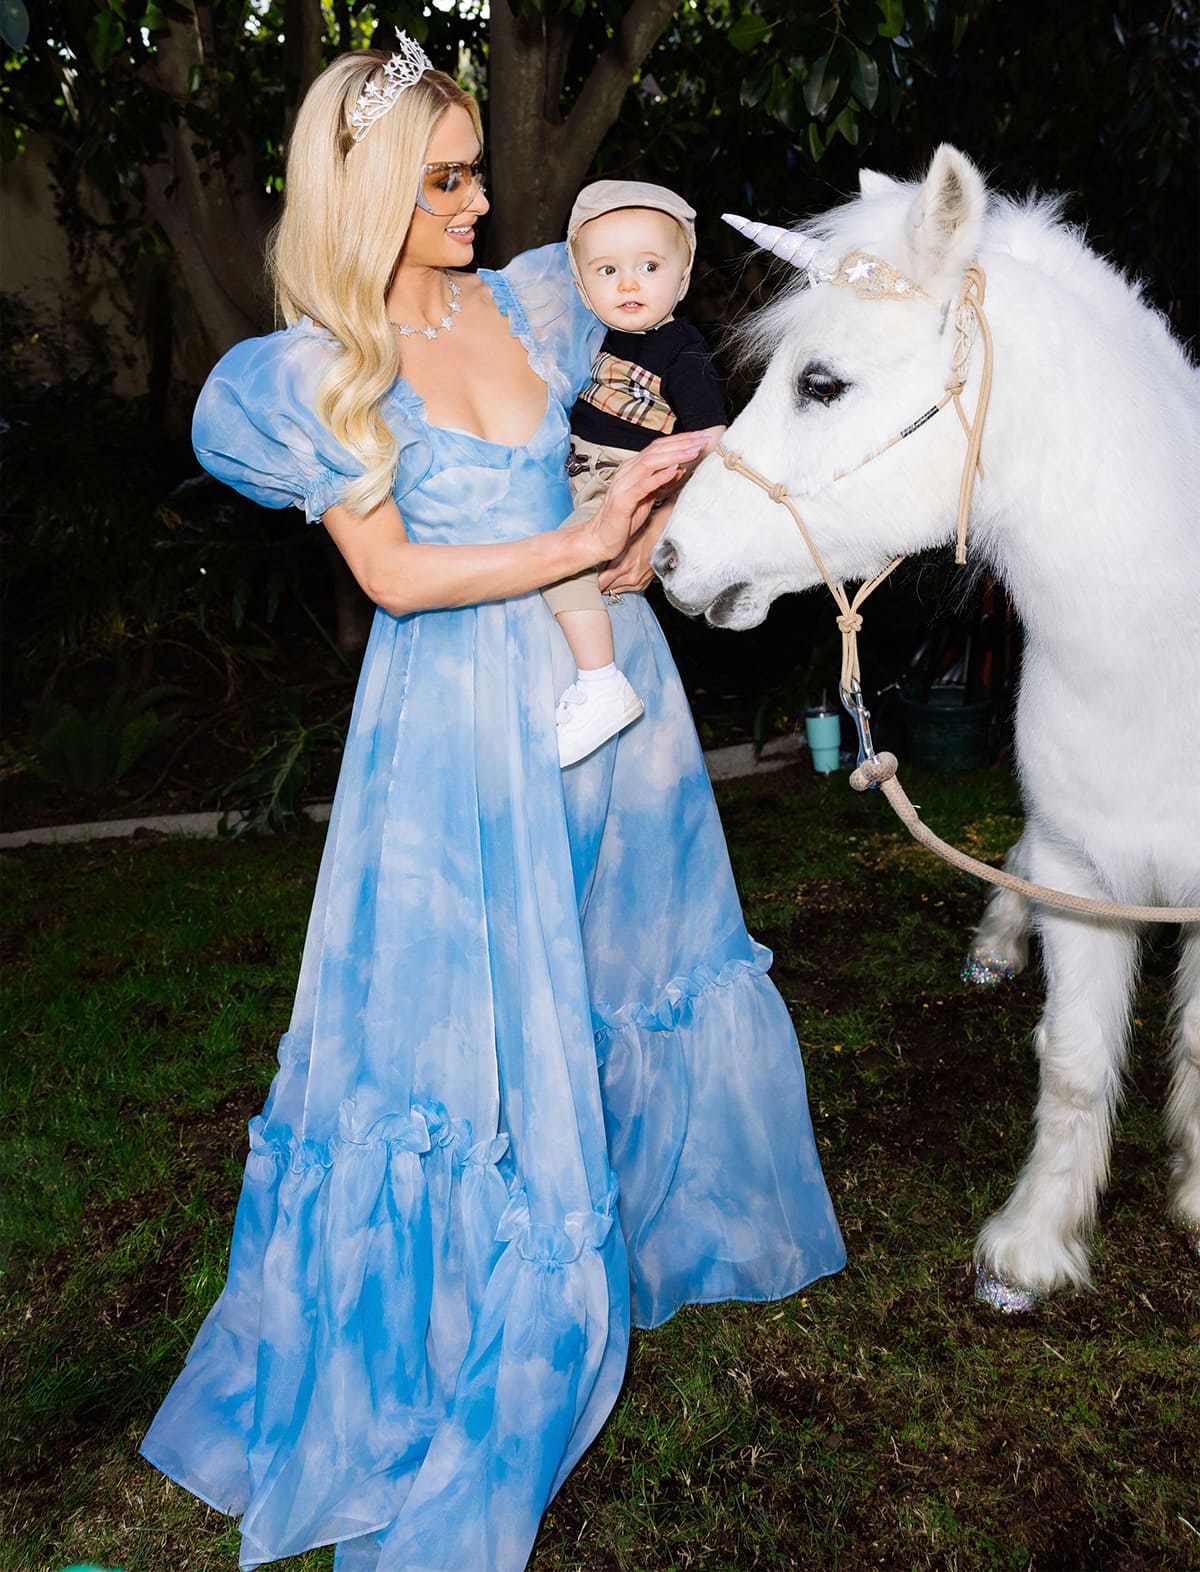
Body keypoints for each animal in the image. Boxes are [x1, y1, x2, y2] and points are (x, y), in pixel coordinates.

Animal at [657, 144, 1200, 1301]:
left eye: (821, 383)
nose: (671, 561)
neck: (1164, 659)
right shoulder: (1083, 874)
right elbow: (1073, 1063)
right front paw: (1033, 1249)